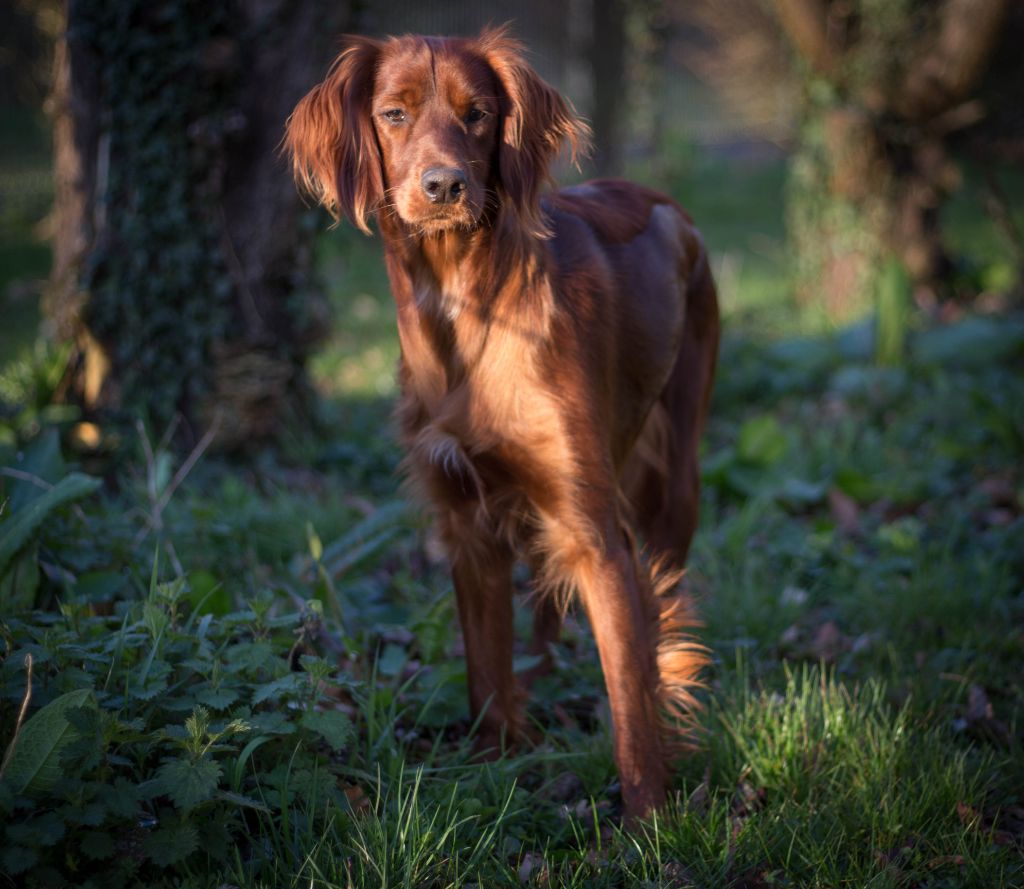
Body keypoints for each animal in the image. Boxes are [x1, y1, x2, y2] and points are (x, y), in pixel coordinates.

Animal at [286, 25, 720, 819]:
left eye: (479, 114)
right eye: (393, 114)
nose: (444, 187)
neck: (464, 305)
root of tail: (659, 196)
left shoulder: (594, 530)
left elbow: (630, 692)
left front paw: (648, 818)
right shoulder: (468, 528)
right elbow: (486, 673)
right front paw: (493, 771)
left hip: (677, 475)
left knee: (665, 597)